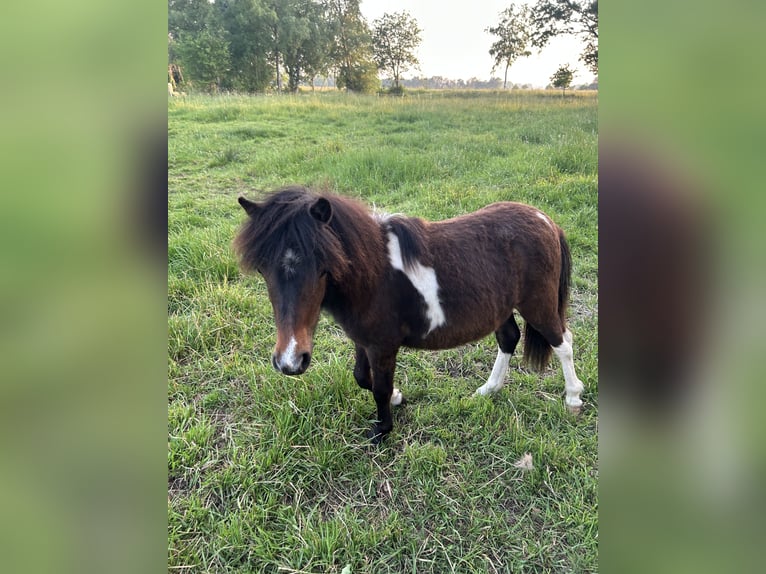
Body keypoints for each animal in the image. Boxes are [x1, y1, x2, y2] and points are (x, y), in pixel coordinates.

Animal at [234, 186, 585, 442]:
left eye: (322, 266)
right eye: (264, 269)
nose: (290, 361)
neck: (373, 276)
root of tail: (545, 219)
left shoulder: (382, 346)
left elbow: (378, 387)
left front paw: (381, 429)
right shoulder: (363, 340)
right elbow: (362, 377)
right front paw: (397, 398)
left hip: (538, 305)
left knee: (562, 342)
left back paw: (573, 398)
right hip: (502, 308)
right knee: (509, 339)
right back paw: (488, 390)